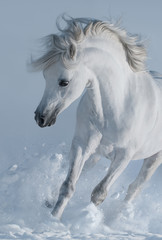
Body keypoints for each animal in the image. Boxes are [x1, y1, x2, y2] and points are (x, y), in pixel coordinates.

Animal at [32, 16, 162, 219]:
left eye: (64, 82)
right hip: (96, 154)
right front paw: (53, 219)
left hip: (153, 158)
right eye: (45, 76)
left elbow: (99, 193)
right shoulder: (81, 145)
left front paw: (89, 218)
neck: (117, 108)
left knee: (134, 189)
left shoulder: (124, 156)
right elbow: (68, 186)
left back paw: (115, 219)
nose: (41, 118)